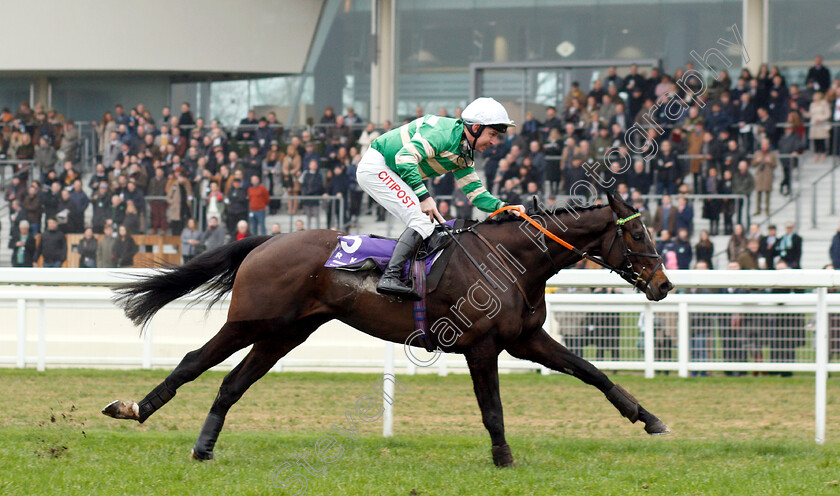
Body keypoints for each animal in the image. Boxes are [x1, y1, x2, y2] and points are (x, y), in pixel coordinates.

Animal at [101, 193, 672, 464]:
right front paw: (504, 459)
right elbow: (492, 410)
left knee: (231, 384)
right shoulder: (483, 346)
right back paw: (135, 408)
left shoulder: (525, 339)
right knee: (193, 362)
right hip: (251, 319)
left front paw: (648, 418)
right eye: (638, 233)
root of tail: (268, 241)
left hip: (286, 332)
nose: (664, 284)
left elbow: (592, 372)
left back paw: (203, 447)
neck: (512, 261)